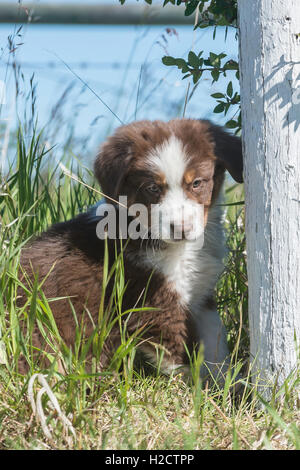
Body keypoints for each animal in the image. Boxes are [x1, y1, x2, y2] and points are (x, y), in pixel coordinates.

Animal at [18, 118, 244, 382]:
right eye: (153, 188)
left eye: (197, 183)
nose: (182, 229)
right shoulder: (154, 303)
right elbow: (180, 357)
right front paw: (194, 390)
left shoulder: (200, 294)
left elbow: (216, 341)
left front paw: (227, 383)